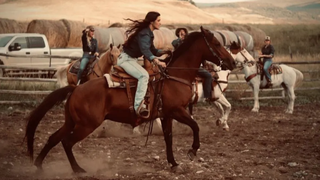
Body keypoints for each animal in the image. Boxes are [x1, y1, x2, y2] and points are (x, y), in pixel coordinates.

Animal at [25, 26, 235, 173]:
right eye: (217, 44)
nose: (232, 62)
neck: (174, 77)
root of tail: (76, 89)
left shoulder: (166, 114)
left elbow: (168, 138)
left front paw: (174, 163)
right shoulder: (177, 110)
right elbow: (195, 126)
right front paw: (192, 151)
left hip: (72, 122)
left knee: (54, 138)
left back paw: (38, 165)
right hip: (86, 124)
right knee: (67, 142)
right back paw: (78, 169)